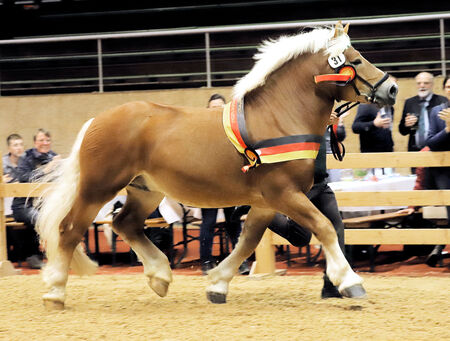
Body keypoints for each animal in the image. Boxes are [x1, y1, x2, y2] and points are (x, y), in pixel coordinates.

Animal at [38, 22, 398, 306]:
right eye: (355, 60)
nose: (392, 88)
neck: (279, 118)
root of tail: (97, 120)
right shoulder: (284, 193)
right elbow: (324, 227)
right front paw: (350, 281)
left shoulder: (267, 201)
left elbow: (248, 239)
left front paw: (217, 284)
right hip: (98, 186)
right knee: (69, 229)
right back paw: (55, 291)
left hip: (145, 189)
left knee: (124, 223)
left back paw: (160, 276)